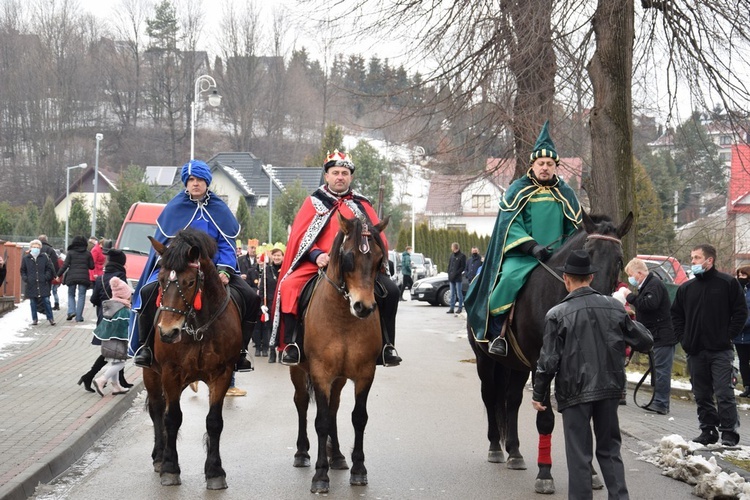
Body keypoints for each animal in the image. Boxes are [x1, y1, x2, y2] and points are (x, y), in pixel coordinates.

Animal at [142, 229, 242, 490]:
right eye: (160, 280)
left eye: (189, 282)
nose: (168, 333)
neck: (198, 326)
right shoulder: (171, 372)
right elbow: (172, 418)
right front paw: (170, 467)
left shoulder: (222, 373)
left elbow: (214, 421)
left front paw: (215, 471)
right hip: (151, 374)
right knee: (158, 410)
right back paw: (159, 456)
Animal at [290, 213, 390, 494]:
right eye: (348, 257)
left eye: (379, 259)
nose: (363, 307)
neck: (343, 318)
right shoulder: (321, 373)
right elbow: (321, 420)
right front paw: (320, 475)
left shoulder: (365, 373)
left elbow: (358, 418)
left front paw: (359, 469)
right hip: (298, 370)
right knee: (302, 402)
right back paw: (302, 452)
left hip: (341, 378)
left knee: (334, 407)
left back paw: (336, 456)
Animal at [470, 210, 636, 492]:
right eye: (588, 253)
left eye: (619, 258)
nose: (597, 298)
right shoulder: (541, 362)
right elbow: (546, 419)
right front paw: (545, 474)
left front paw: (591, 473)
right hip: (486, 361)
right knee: (490, 397)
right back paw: (495, 448)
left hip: (517, 365)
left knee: (512, 400)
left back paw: (514, 452)